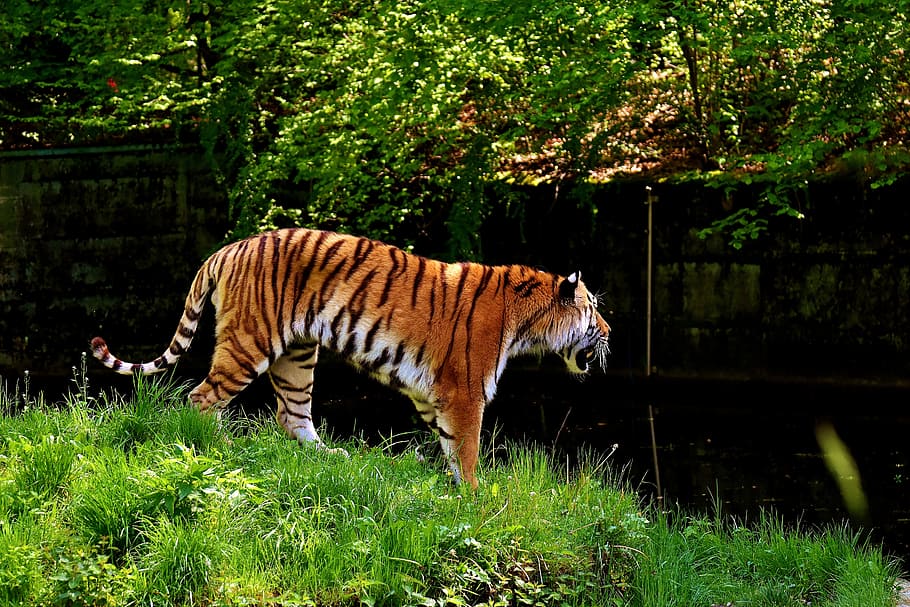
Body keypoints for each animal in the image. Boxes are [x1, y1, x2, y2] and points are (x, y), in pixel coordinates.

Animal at [91, 228, 611, 488]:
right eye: (593, 308)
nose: (610, 333)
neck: (526, 321)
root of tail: (227, 249)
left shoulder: (433, 395)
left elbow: (448, 445)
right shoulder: (464, 392)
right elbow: (466, 450)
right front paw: (474, 497)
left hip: (298, 355)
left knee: (291, 414)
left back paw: (329, 457)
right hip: (248, 343)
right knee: (200, 398)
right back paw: (219, 448)